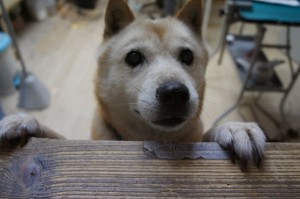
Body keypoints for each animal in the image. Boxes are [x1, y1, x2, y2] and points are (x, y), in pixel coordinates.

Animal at [0, 0, 264, 170]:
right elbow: (58, 138)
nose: (175, 92)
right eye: (134, 57)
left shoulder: (196, 135)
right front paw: (25, 122)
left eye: (187, 56)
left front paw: (234, 128)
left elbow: (208, 136)